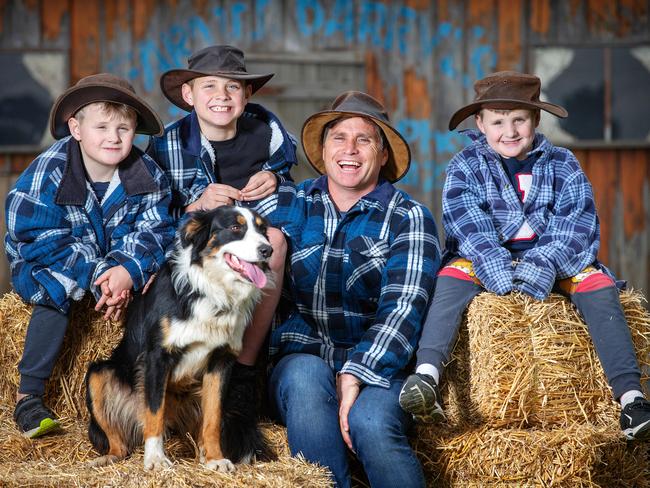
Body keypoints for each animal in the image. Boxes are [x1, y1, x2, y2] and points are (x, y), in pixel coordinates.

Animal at [85, 206, 272, 472]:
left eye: (263, 229)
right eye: (236, 228)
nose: (268, 250)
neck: (211, 290)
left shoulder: (221, 361)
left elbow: (213, 418)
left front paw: (216, 459)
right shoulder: (157, 356)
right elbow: (154, 412)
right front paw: (155, 459)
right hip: (98, 374)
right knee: (120, 444)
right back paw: (106, 459)